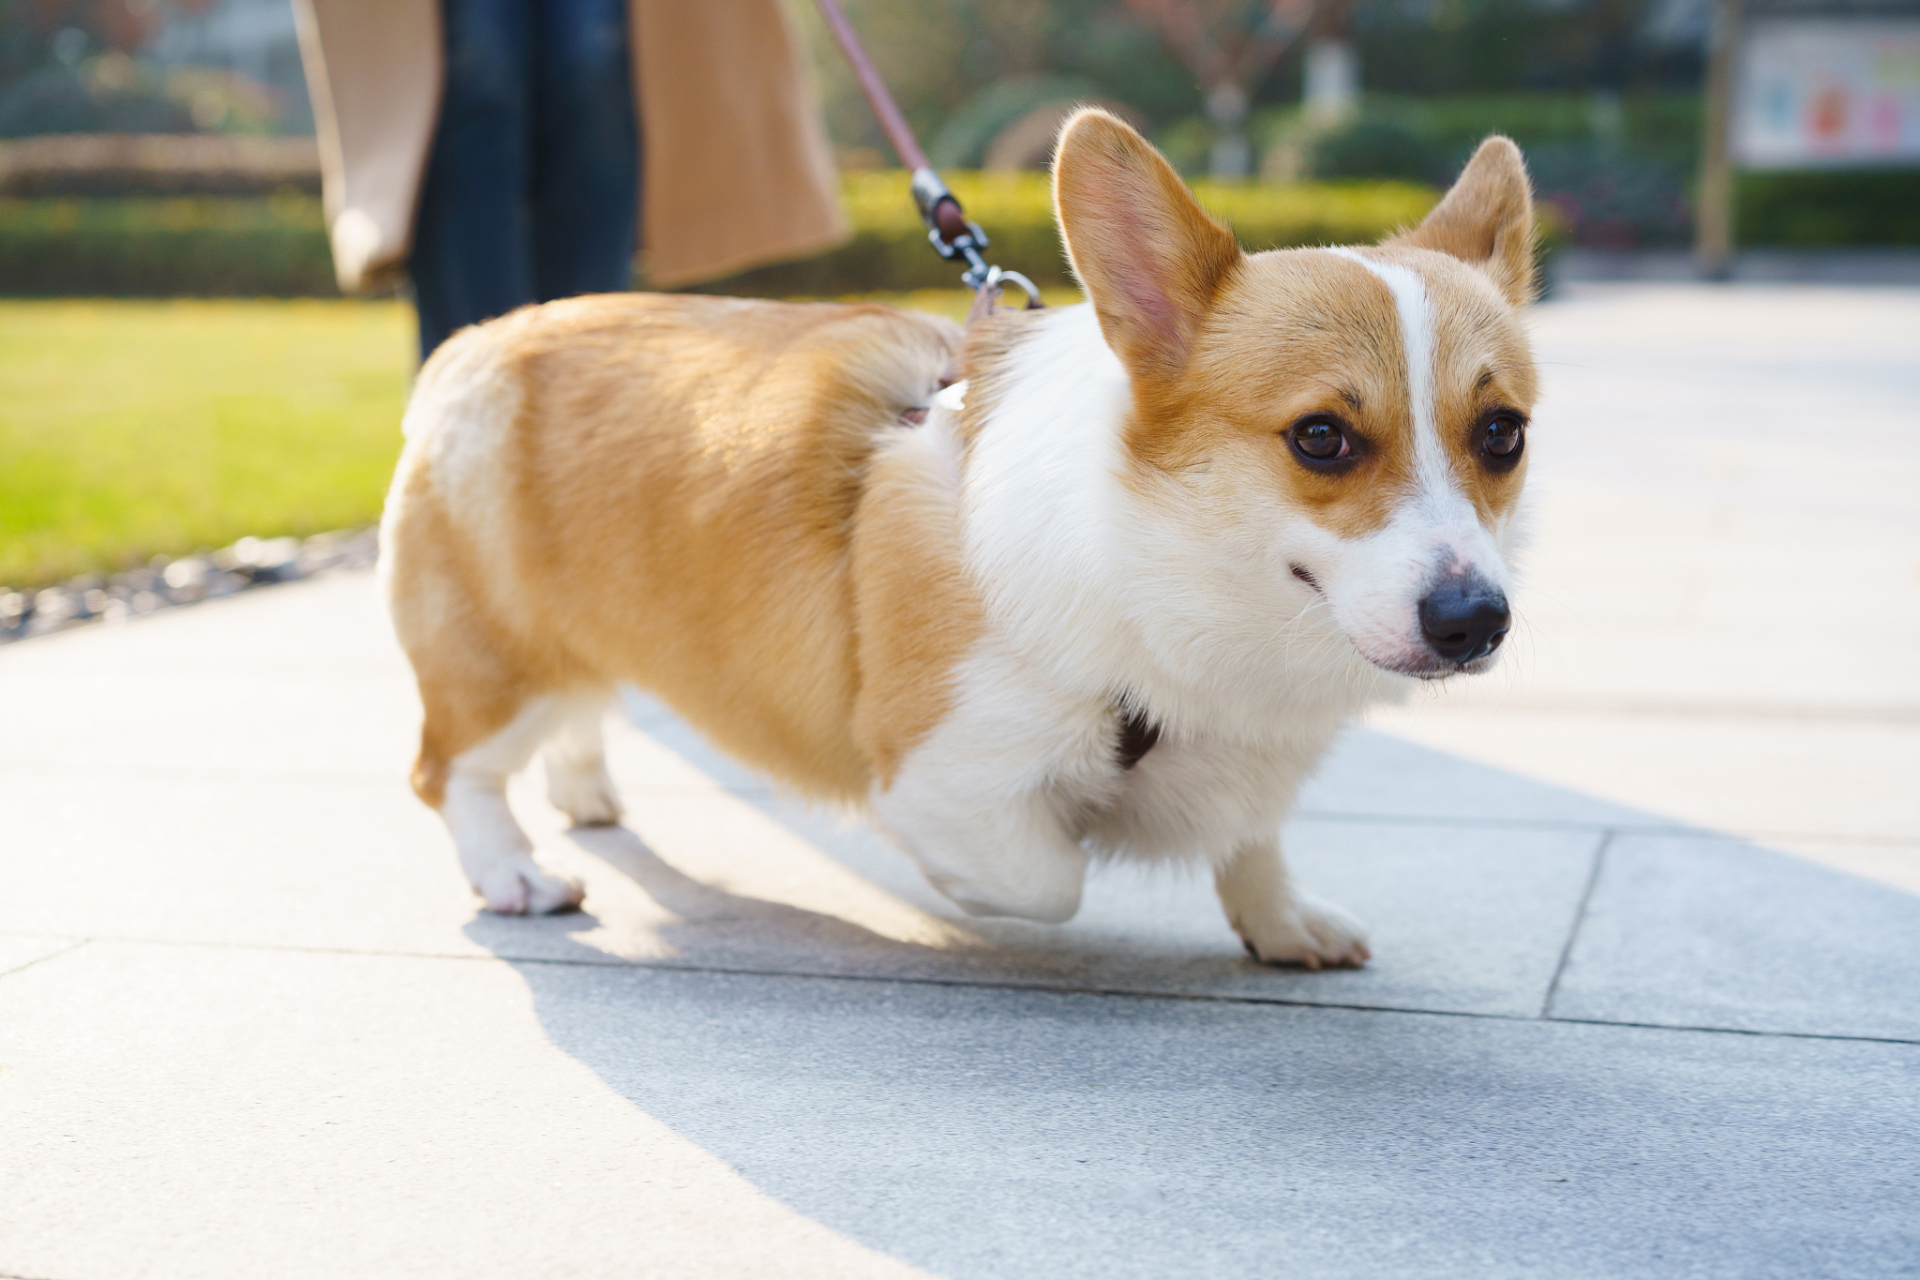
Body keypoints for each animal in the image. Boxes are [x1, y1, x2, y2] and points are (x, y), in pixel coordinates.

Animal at [382, 112, 1536, 971]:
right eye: (1322, 438)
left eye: (1502, 432)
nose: (1476, 622)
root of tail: (475, 344)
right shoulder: (943, 770)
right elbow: (1050, 874)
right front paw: (985, 879)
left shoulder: (1256, 756)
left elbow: (1253, 838)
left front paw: (1284, 921)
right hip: (494, 663)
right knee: (450, 771)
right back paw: (514, 872)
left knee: (576, 710)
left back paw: (584, 792)